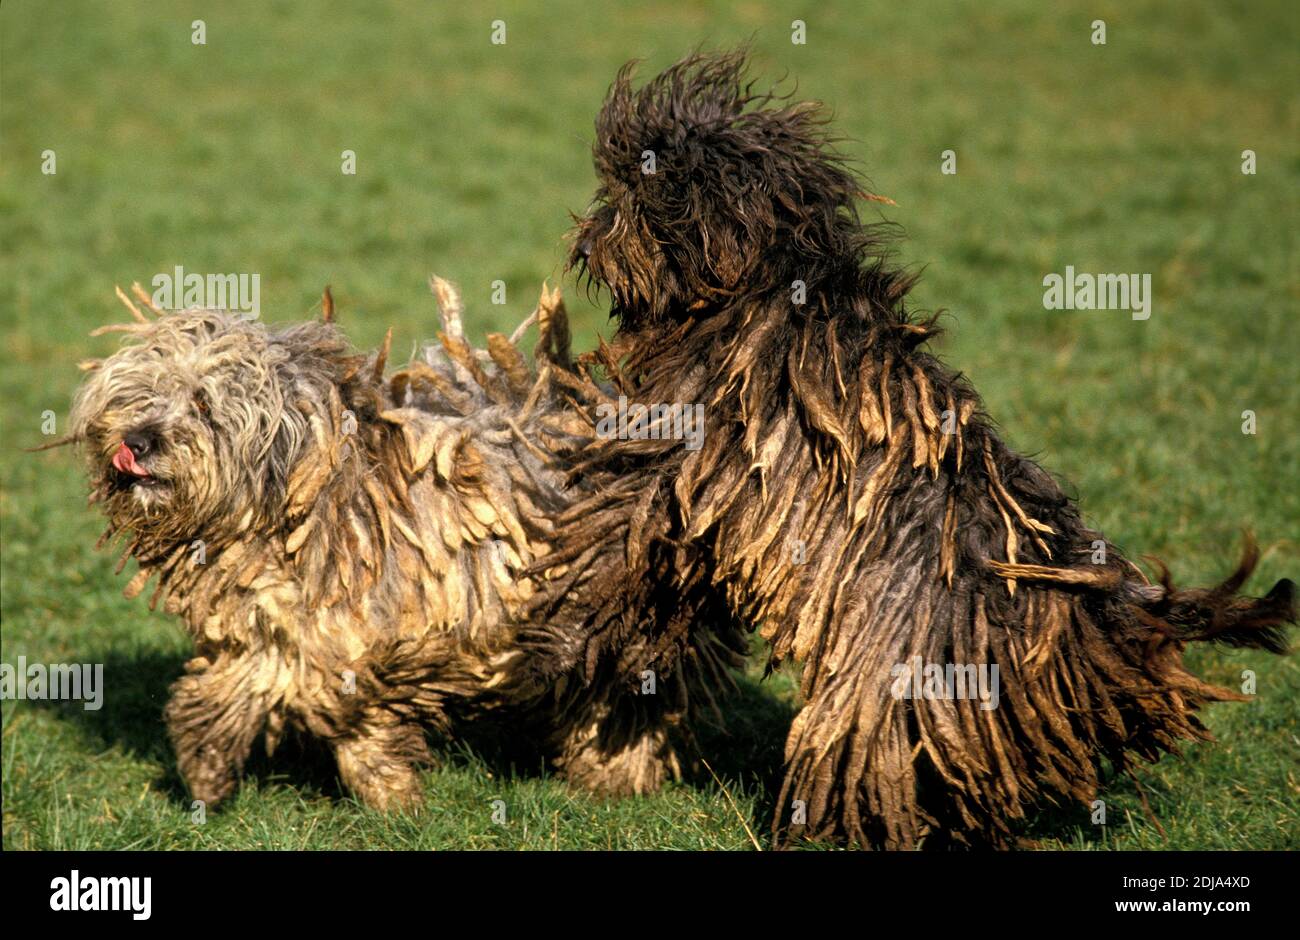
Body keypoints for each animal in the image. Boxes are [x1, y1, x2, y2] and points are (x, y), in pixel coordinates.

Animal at [67, 278, 590, 811]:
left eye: (203, 404)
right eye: (141, 396)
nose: (137, 441)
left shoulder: (370, 627)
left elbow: (347, 698)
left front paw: (391, 792)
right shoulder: (266, 622)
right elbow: (240, 682)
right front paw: (206, 765)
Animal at [522, 47, 1294, 847]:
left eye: (638, 192)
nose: (586, 244)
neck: (764, 278)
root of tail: (1090, 610)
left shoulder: (684, 448)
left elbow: (614, 532)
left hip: (892, 689)